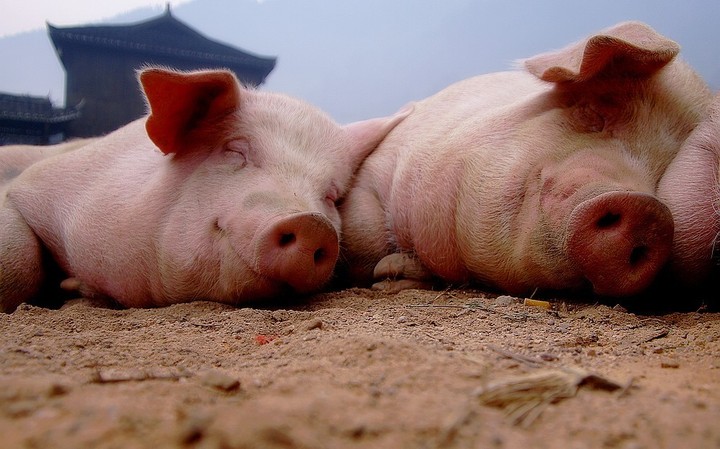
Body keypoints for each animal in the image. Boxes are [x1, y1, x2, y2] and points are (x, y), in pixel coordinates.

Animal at [340, 22, 712, 300]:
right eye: (595, 110)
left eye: (663, 172)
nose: (646, 211)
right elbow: (364, 228)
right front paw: (384, 275)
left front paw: (393, 273)